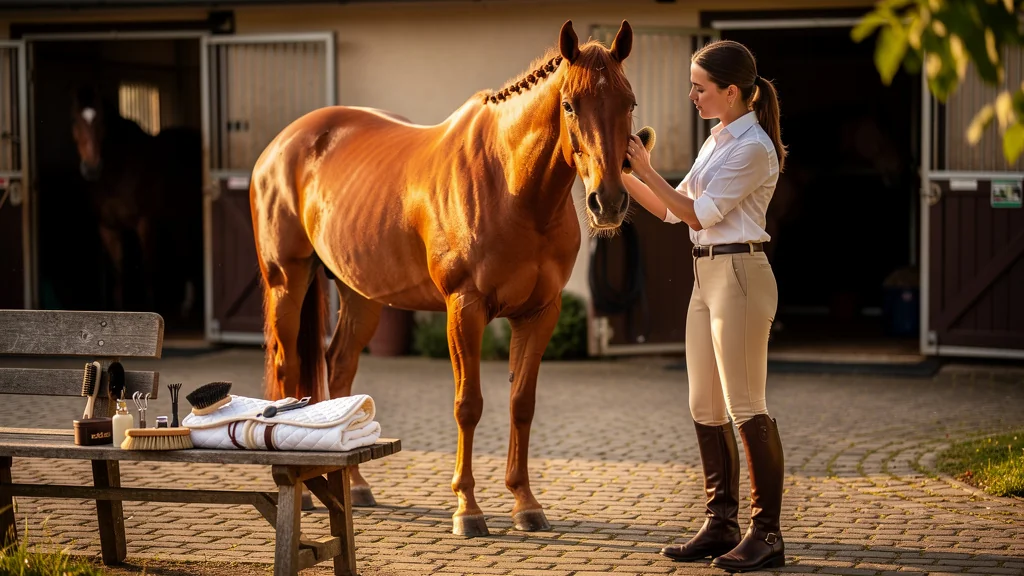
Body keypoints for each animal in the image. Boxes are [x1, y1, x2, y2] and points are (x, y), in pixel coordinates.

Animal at [70, 85, 203, 324]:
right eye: (74, 120)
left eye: (102, 121)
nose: (92, 168)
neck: (118, 173)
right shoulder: (107, 228)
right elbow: (118, 270)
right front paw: (119, 312)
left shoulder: (145, 223)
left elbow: (147, 268)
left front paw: (150, 309)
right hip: (176, 219)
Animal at [251, 19, 636, 537]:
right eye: (571, 104)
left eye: (629, 103)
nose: (608, 202)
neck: (512, 187)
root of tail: (280, 146)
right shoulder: (464, 309)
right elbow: (468, 404)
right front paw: (467, 509)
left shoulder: (540, 312)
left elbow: (522, 403)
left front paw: (525, 504)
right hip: (287, 282)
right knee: (286, 366)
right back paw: (306, 490)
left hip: (360, 295)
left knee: (340, 368)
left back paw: (355, 486)